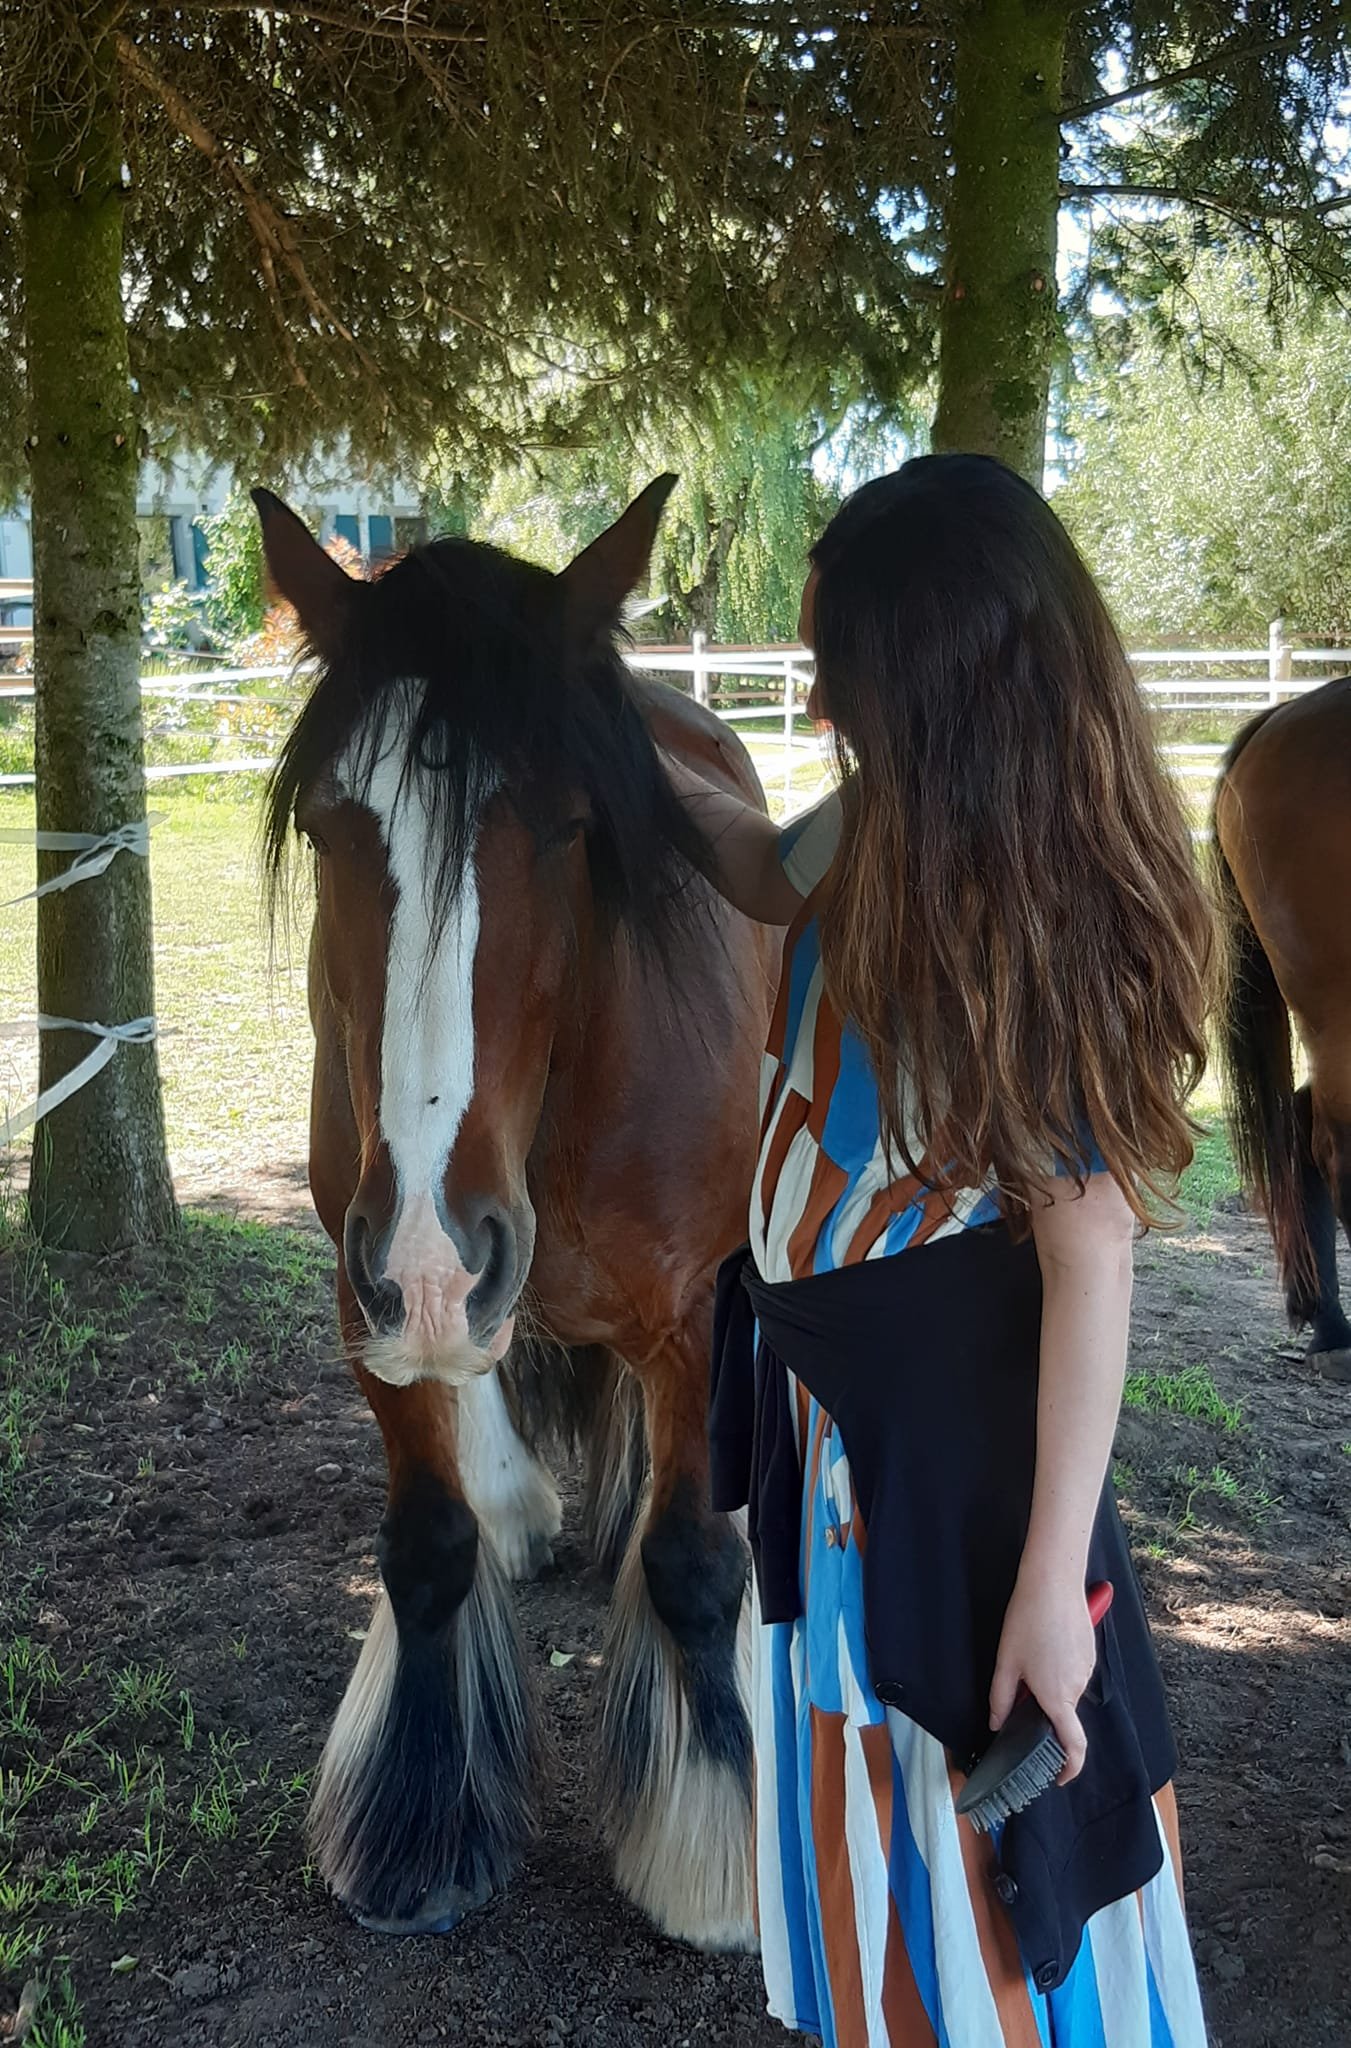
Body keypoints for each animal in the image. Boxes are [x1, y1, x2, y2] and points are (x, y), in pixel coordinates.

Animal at [253, 478, 777, 1944]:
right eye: (330, 823)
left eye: (568, 823)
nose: (439, 1253)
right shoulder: (367, 1290)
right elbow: (427, 1545)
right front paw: (419, 1832)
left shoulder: (691, 1309)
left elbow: (691, 1563)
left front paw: (715, 1857)